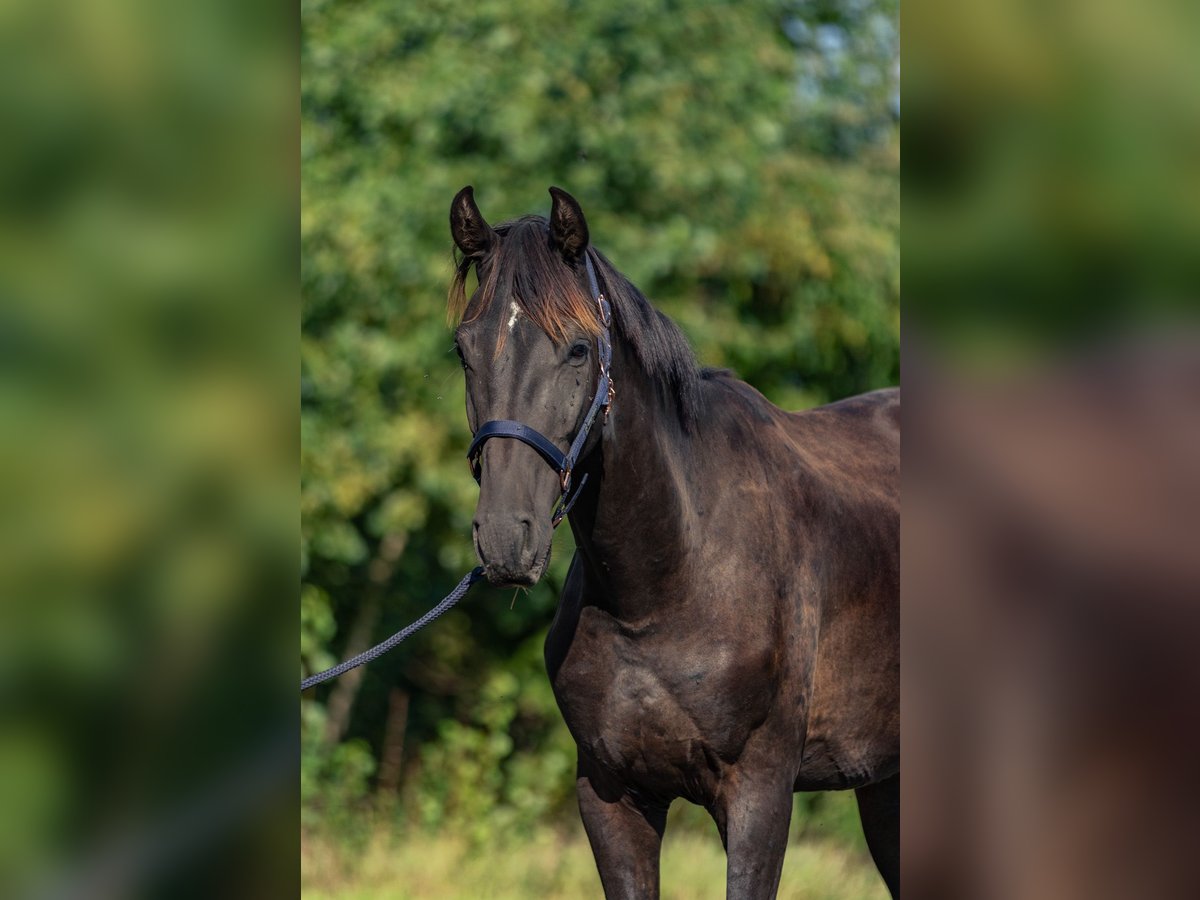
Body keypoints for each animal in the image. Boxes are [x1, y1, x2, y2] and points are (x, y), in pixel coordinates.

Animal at [446, 187, 897, 897]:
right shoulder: (611, 796)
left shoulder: (760, 796)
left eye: (578, 350)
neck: (667, 582)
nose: (503, 537)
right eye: (464, 348)